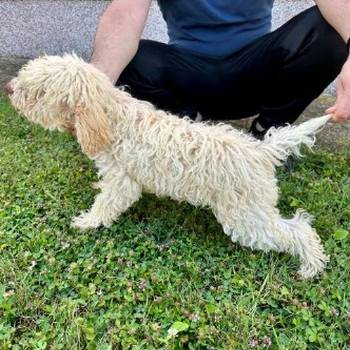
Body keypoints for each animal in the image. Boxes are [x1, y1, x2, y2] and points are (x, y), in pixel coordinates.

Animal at [7, 54, 330, 278]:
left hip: (246, 218)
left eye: (39, 92)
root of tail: (261, 151)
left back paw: (311, 266)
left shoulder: (123, 182)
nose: (9, 88)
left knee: (298, 230)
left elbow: (106, 205)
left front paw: (87, 222)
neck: (110, 118)